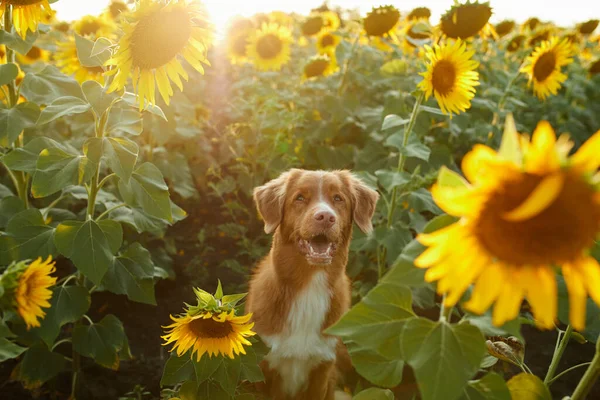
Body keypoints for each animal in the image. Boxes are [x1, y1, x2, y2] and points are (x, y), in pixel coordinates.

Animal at [245, 170, 378, 400]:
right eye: (299, 198)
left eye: (338, 198)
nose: (325, 217)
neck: (310, 285)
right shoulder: (263, 369)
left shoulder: (322, 368)